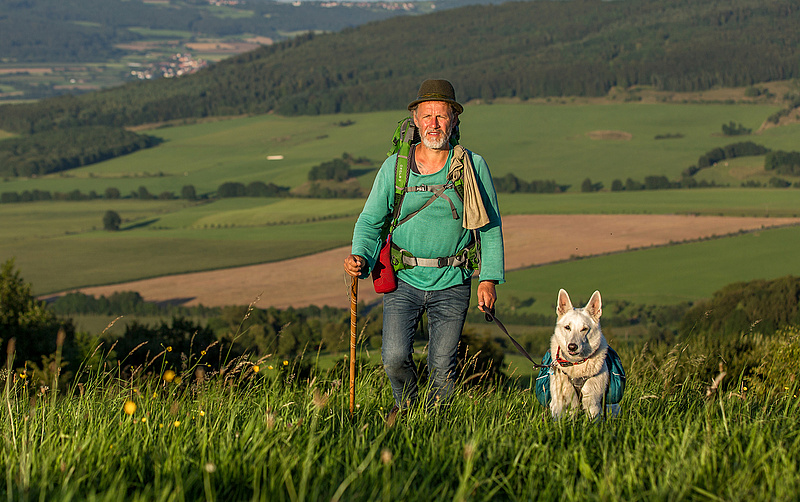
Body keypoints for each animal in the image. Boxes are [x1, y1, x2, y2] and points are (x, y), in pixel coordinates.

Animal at [548, 288, 616, 422]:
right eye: (567, 327)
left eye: (584, 329)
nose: (572, 347)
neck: (576, 364)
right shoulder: (560, 403)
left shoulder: (593, 403)